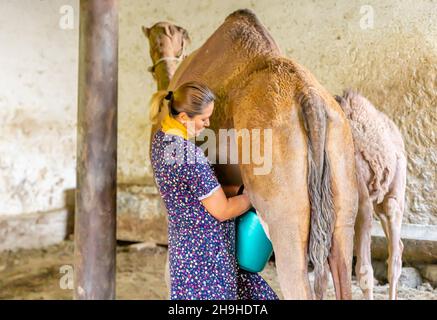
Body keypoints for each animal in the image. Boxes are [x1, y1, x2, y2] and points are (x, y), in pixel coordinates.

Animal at [336, 90, 408, 300]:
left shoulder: (361, 204)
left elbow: (364, 271)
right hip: (379, 203)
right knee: (399, 245)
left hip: (394, 192)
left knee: (395, 257)